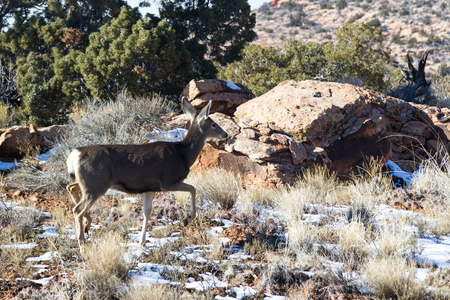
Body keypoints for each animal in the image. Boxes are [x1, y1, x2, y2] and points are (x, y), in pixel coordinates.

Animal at [66, 98, 229, 246]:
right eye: (214, 124)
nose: (226, 134)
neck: (183, 154)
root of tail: (75, 154)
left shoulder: (150, 188)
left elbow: (146, 212)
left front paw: (142, 241)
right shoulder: (167, 181)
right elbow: (193, 189)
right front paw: (187, 219)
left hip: (90, 181)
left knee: (71, 188)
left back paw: (87, 225)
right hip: (96, 184)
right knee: (77, 209)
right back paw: (82, 242)